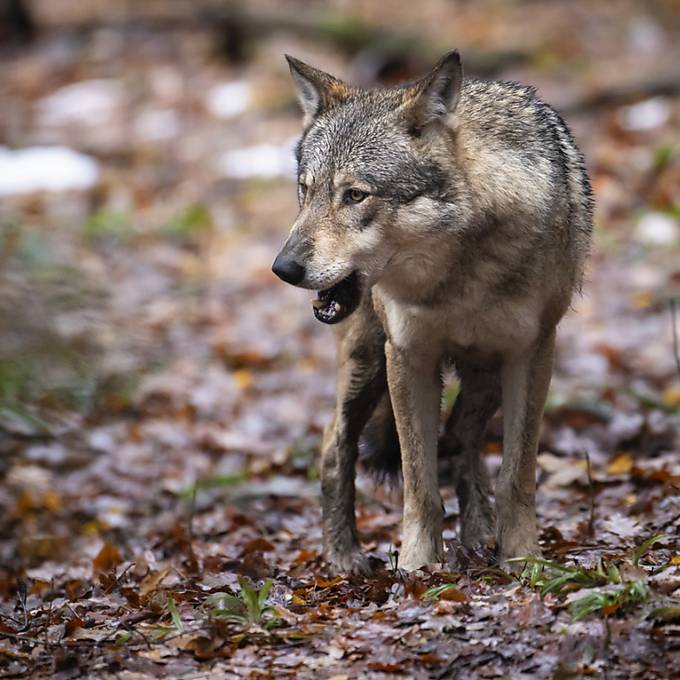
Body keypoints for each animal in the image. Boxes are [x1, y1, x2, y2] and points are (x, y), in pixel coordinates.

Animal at [274, 50, 592, 576]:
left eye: (355, 195)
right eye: (305, 190)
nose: (283, 268)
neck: (458, 275)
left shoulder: (531, 353)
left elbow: (516, 474)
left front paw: (521, 559)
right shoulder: (408, 356)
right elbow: (419, 482)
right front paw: (417, 569)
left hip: (484, 377)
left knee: (461, 439)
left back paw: (479, 533)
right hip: (367, 364)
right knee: (333, 445)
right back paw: (343, 557)